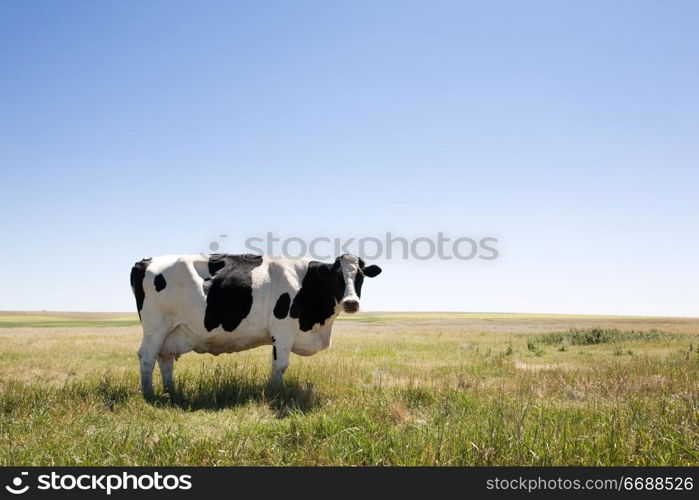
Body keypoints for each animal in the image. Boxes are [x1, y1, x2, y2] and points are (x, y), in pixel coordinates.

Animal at [131, 254, 382, 398]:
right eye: (336, 276)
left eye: (360, 276)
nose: (351, 303)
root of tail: (146, 260)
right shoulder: (283, 329)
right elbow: (280, 365)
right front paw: (276, 393)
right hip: (156, 326)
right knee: (147, 356)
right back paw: (148, 395)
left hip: (171, 331)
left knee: (164, 359)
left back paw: (170, 392)